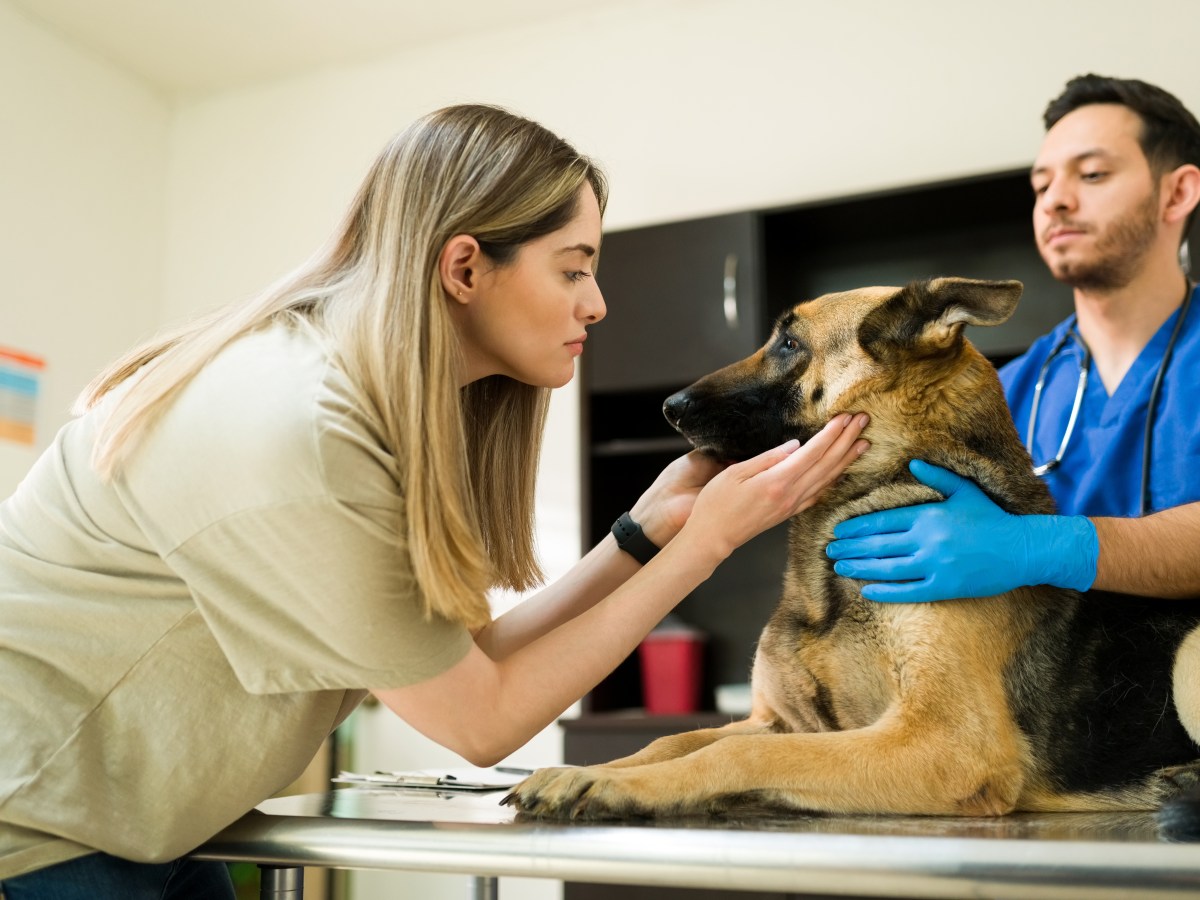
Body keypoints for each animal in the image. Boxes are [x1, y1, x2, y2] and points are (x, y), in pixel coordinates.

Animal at [501, 278, 1200, 830]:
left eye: (789, 343)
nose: (669, 408)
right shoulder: (787, 723)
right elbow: (676, 739)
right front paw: (591, 768)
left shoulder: (946, 743)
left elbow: (734, 754)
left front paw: (612, 784)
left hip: (1187, 654)